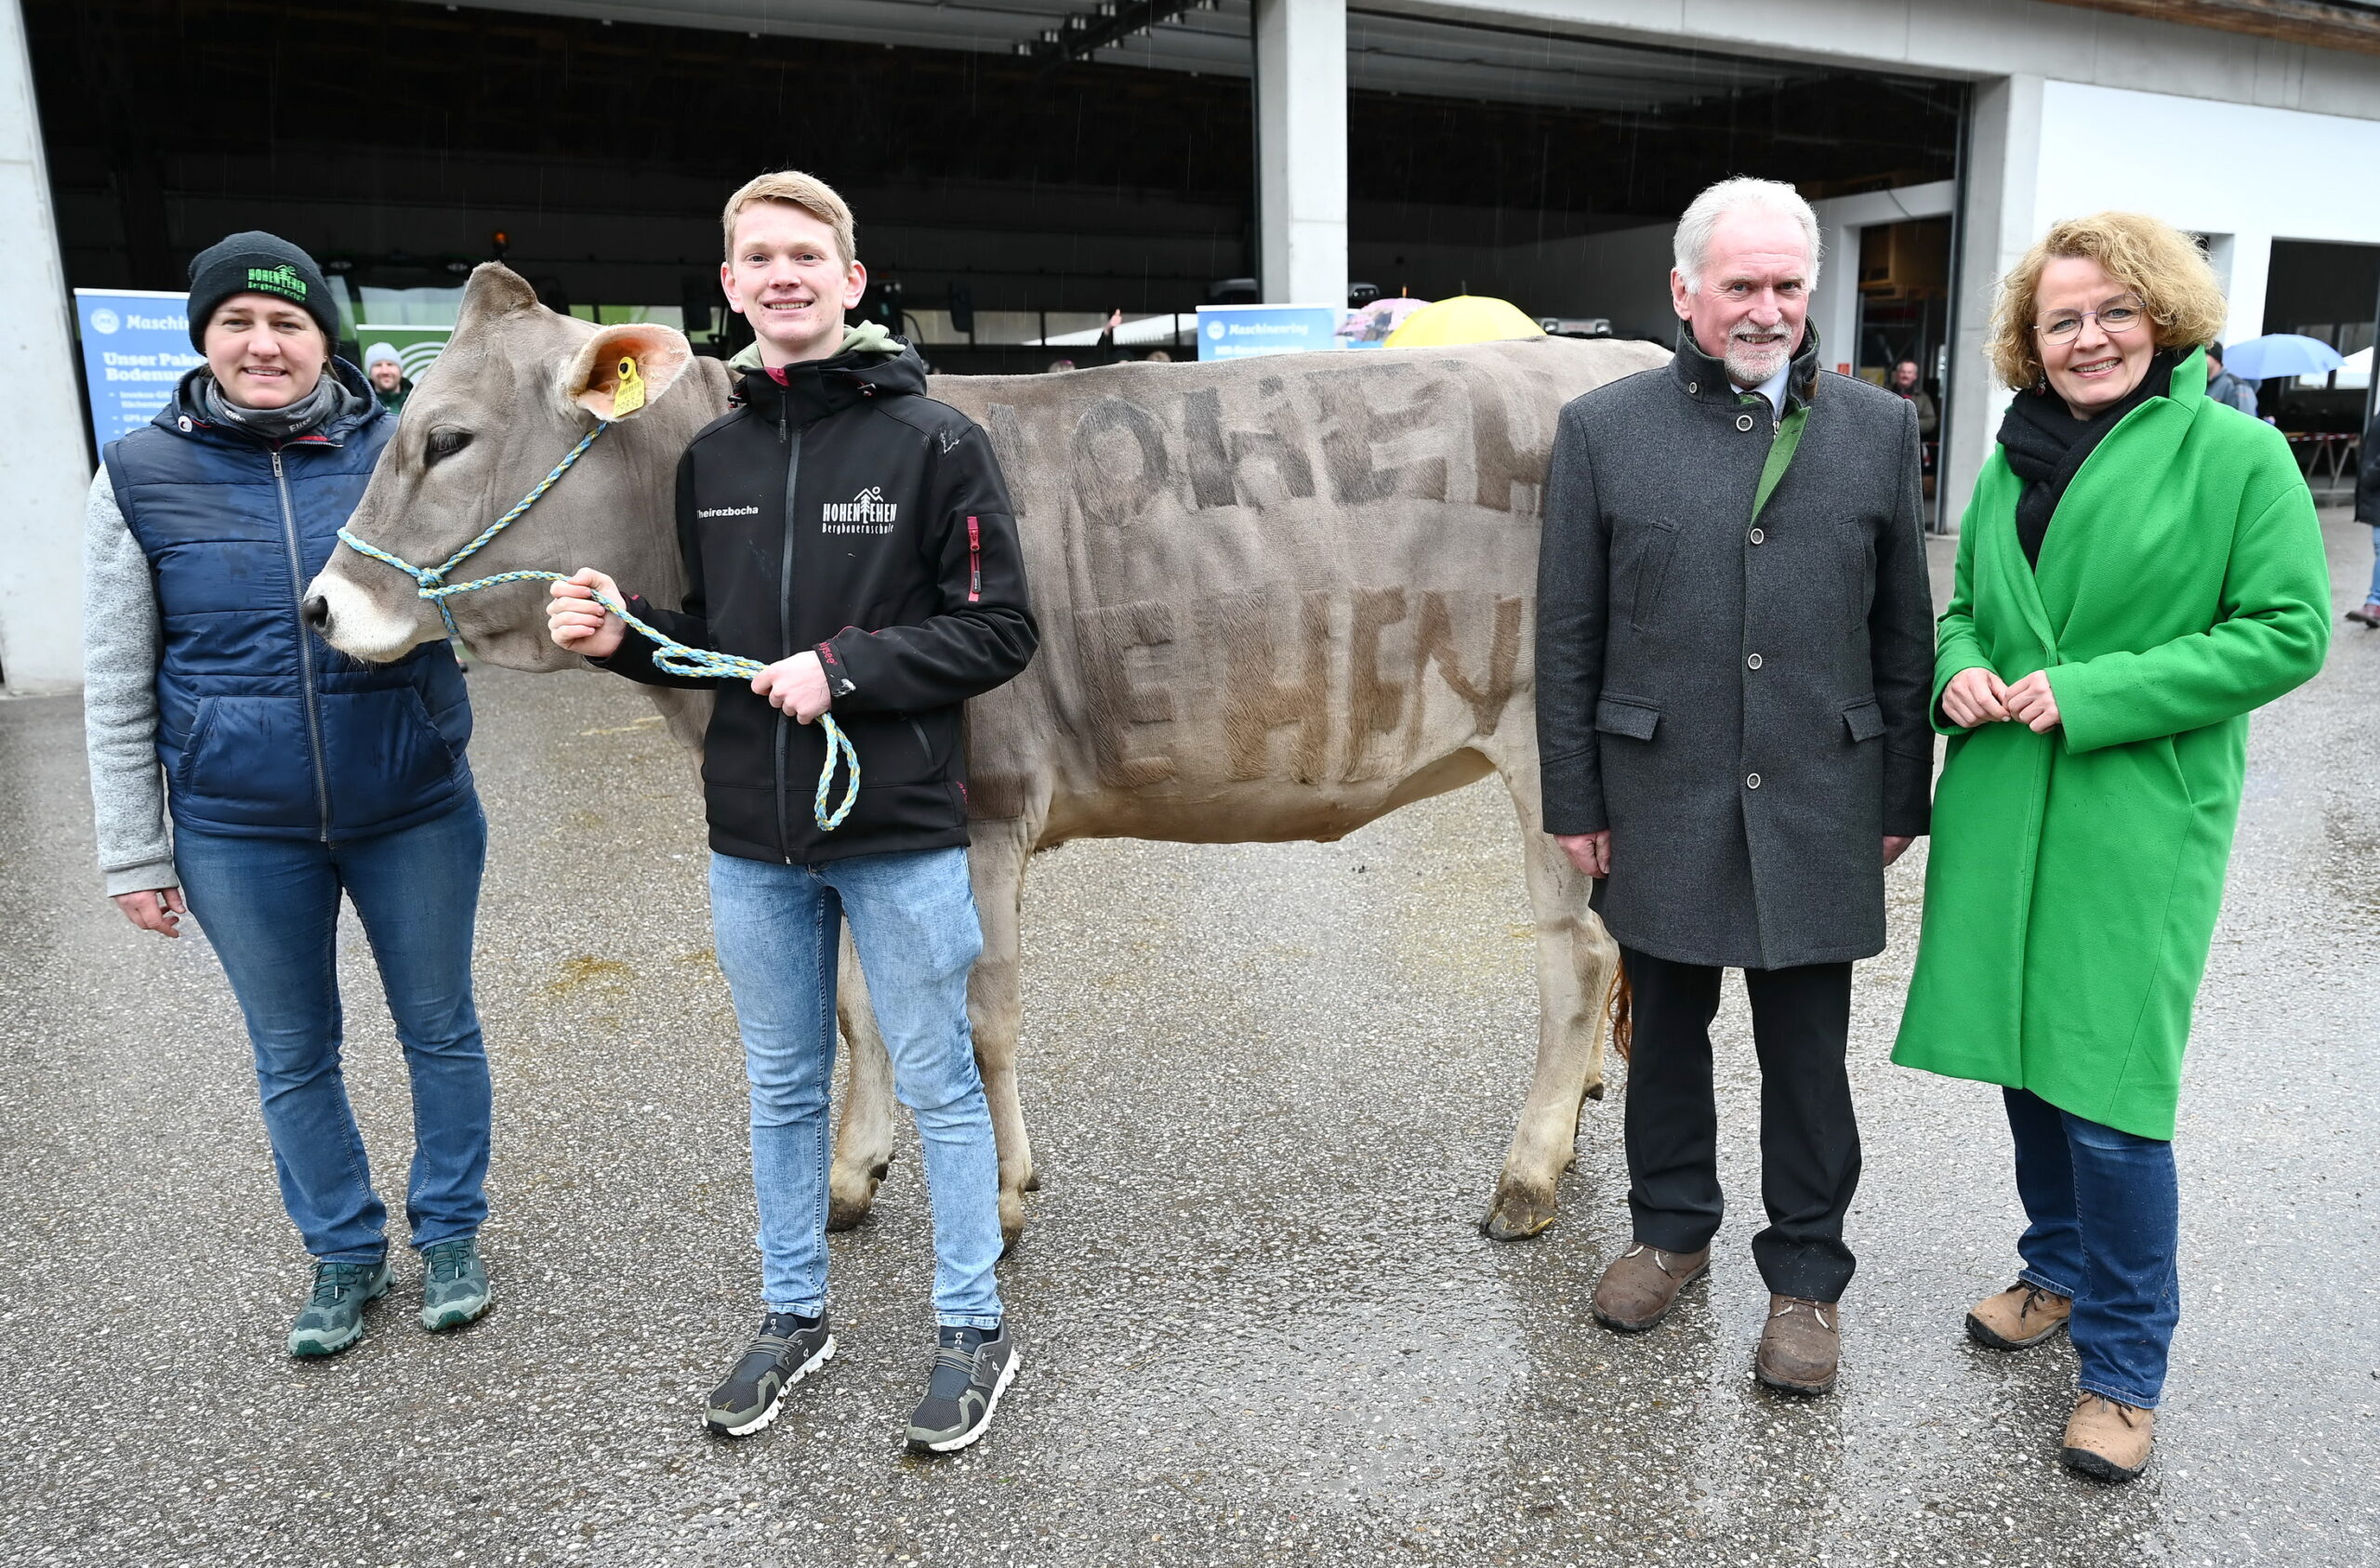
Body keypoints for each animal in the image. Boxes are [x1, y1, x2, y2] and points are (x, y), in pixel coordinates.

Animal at [311, 270, 1656, 1246]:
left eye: (447, 437)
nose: (322, 605)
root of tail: (1613, 360)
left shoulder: (988, 813)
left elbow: (974, 1014)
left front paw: (1000, 1198)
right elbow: (859, 1006)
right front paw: (852, 1172)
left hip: (1548, 753)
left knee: (1579, 955)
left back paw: (1529, 1173)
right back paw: (1587, 1098)